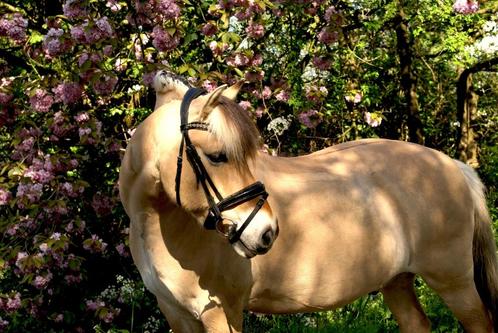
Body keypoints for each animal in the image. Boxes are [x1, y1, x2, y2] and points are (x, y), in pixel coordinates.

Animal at [118, 71, 496, 330]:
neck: (158, 225)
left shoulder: (220, 313)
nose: (267, 232)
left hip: (455, 283)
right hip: (397, 281)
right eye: (217, 156)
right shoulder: (176, 314)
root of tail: (453, 165)